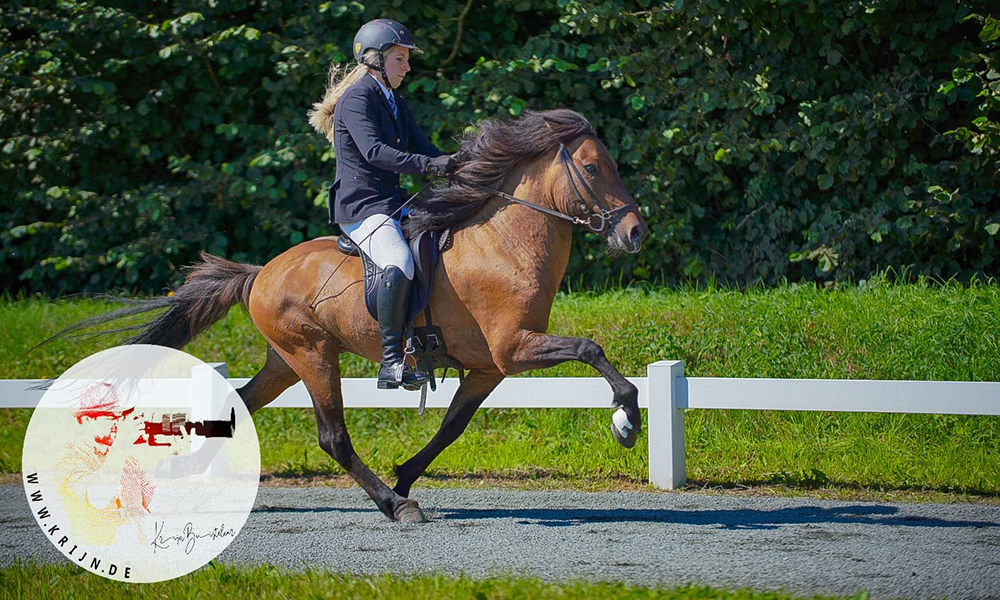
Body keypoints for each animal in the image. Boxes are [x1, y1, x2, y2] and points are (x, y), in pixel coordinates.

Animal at [56, 110, 648, 524]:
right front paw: (626, 421)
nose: (636, 232)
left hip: (285, 360)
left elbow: (452, 426)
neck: (504, 243)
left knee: (242, 403)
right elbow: (591, 349)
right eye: (592, 168)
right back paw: (393, 506)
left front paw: (406, 474)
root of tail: (261, 272)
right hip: (313, 355)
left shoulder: (489, 367)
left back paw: (185, 471)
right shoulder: (515, 347)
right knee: (333, 437)